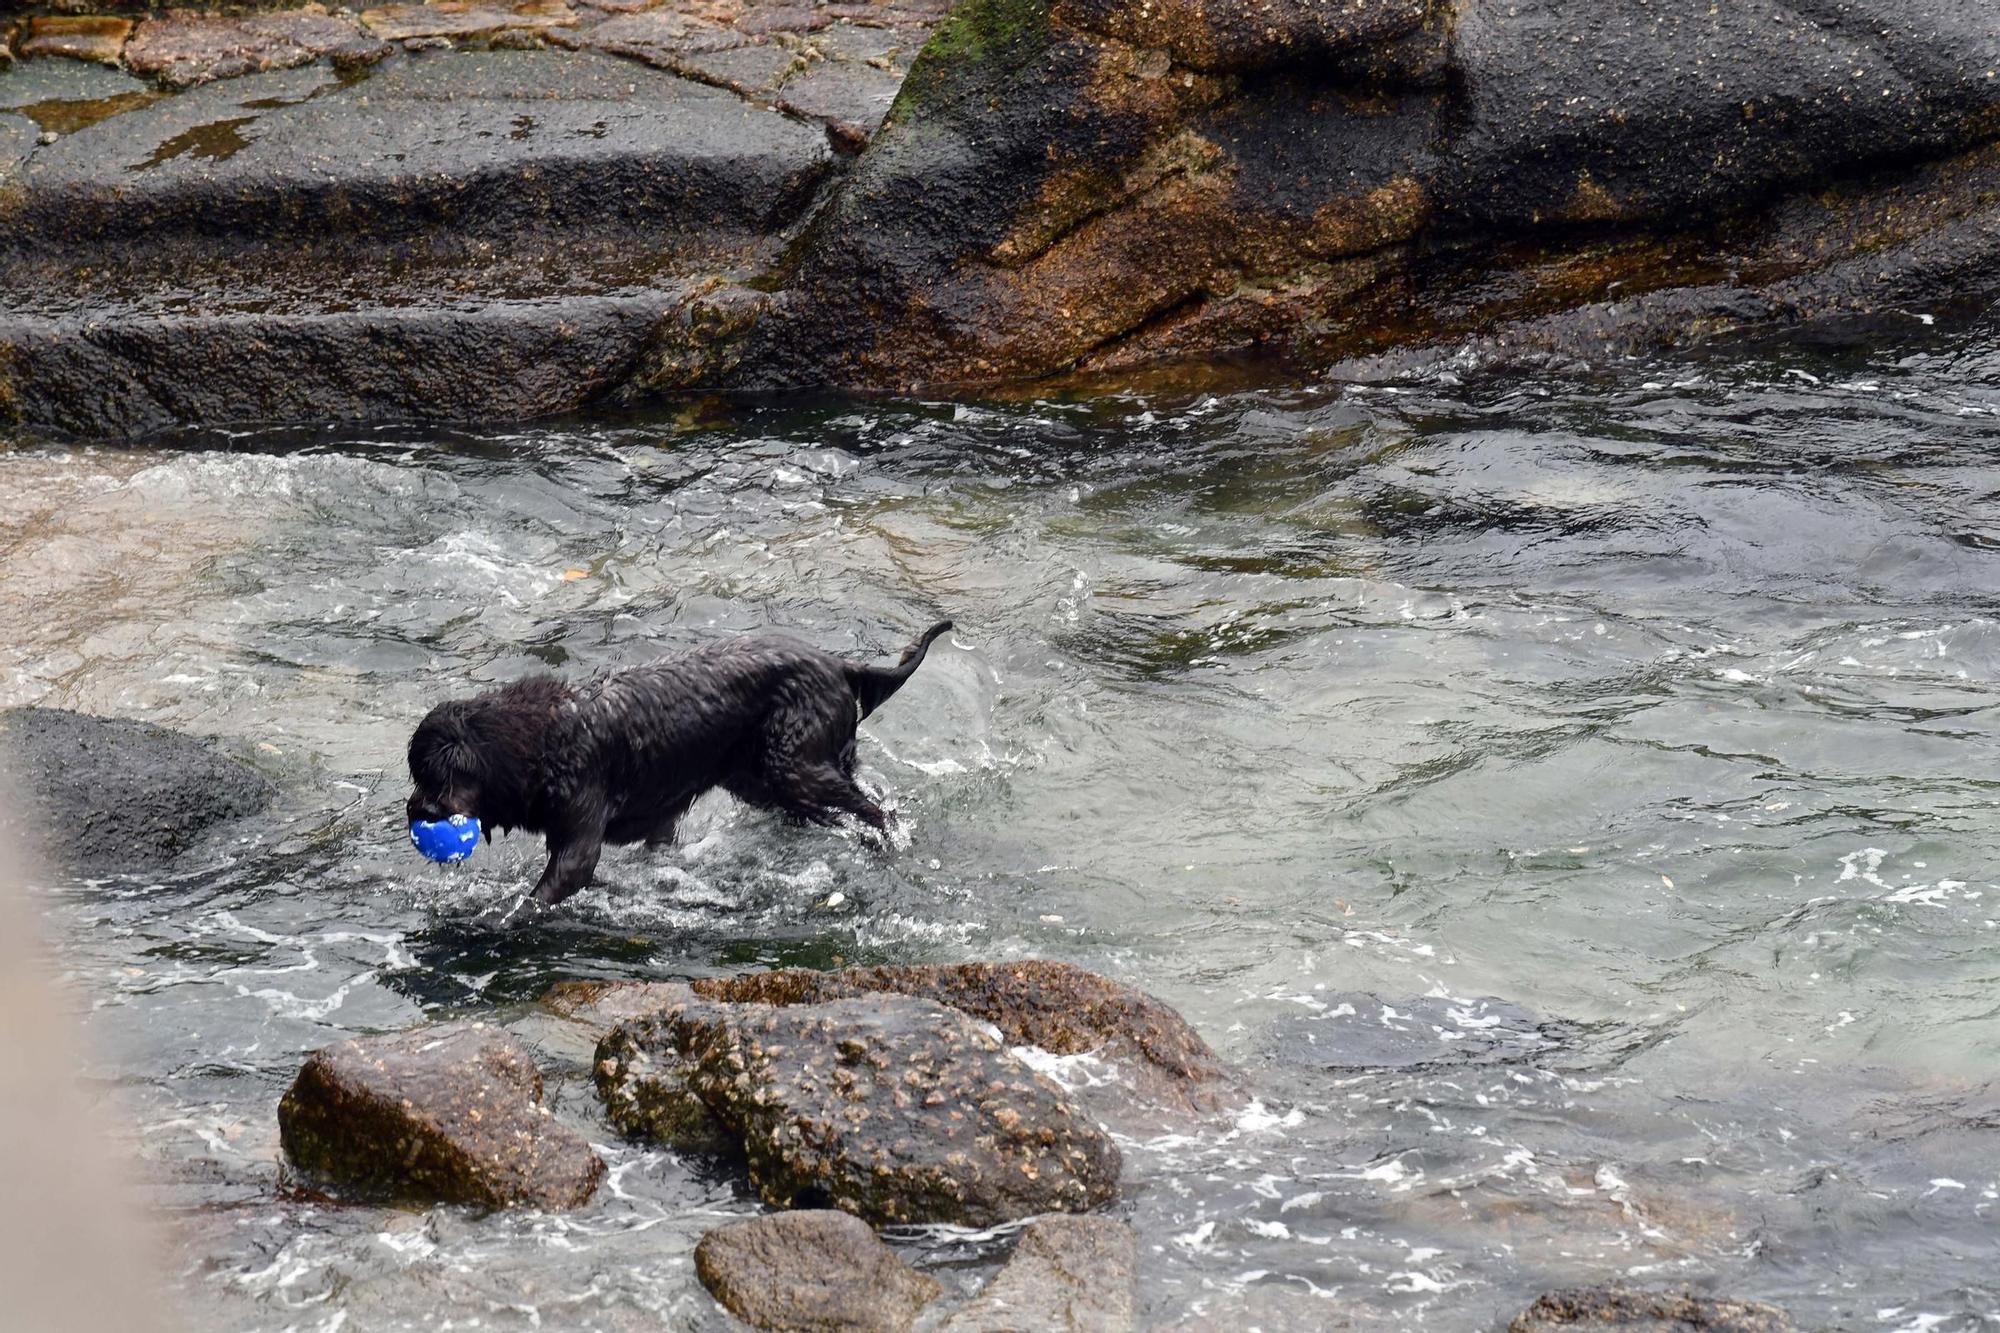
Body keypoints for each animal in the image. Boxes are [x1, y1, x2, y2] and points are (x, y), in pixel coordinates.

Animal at [406, 624, 952, 904]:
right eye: (416, 776)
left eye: (433, 779)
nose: (415, 813)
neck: (538, 743)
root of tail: (841, 664)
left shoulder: (579, 832)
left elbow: (546, 888)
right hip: (761, 777)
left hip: (794, 768)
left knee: (877, 811)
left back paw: (886, 846)